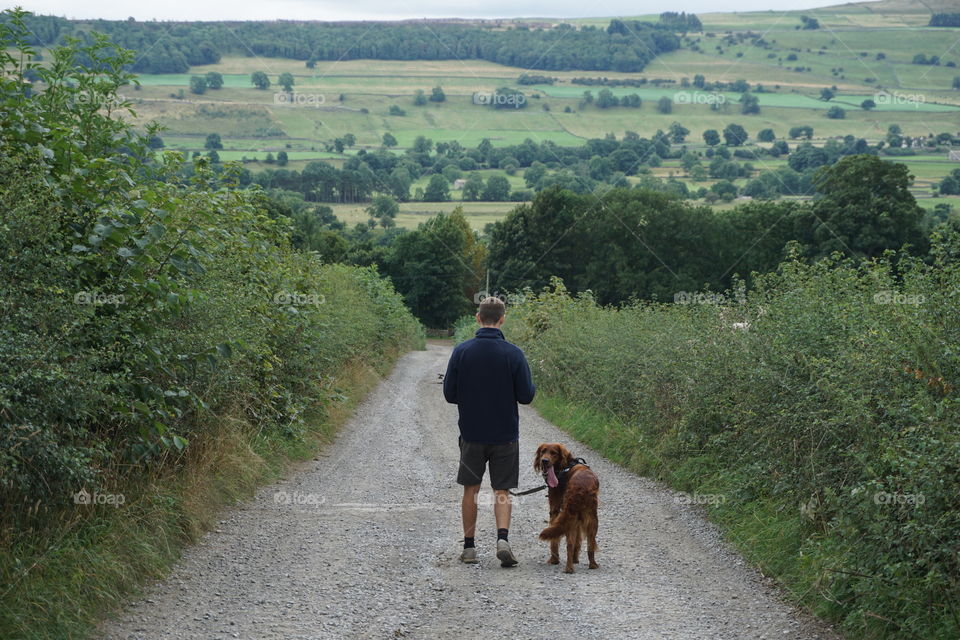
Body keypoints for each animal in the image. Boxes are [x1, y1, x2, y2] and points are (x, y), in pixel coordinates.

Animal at [536, 442, 596, 572]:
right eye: (543, 451)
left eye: (553, 453)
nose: (544, 461)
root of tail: (581, 487)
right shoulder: (576, 518)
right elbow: (577, 540)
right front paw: (574, 559)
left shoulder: (555, 510)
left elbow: (555, 540)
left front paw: (555, 560)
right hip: (591, 519)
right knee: (590, 543)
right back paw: (592, 565)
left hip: (571, 518)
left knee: (570, 544)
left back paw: (569, 568)